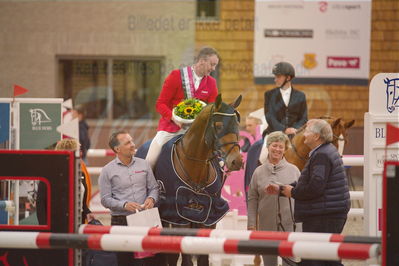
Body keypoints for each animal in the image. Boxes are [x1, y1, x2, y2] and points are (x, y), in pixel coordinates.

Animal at [138, 94, 244, 264]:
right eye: (218, 126)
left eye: (237, 125)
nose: (237, 161)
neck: (196, 166)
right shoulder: (180, 217)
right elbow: (185, 257)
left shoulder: (209, 217)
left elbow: (203, 258)